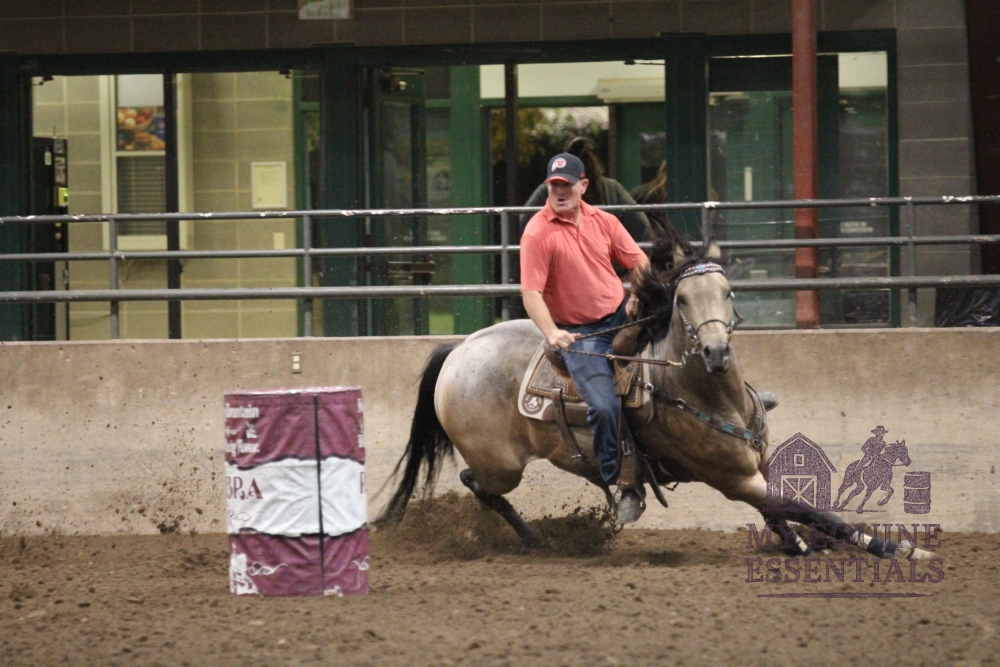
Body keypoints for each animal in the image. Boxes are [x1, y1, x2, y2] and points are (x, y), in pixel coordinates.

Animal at [378, 234, 929, 561]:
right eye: (681, 299)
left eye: (728, 292)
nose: (715, 351)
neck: (704, 394)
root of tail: (458, 348)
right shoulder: (731, 479)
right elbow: (813, 510)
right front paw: (898, 550)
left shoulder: (758, 465)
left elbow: (783, 509)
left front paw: (796, 544)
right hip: (500, 464)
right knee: (477, 483)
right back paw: (536, 539)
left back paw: (535, 538)